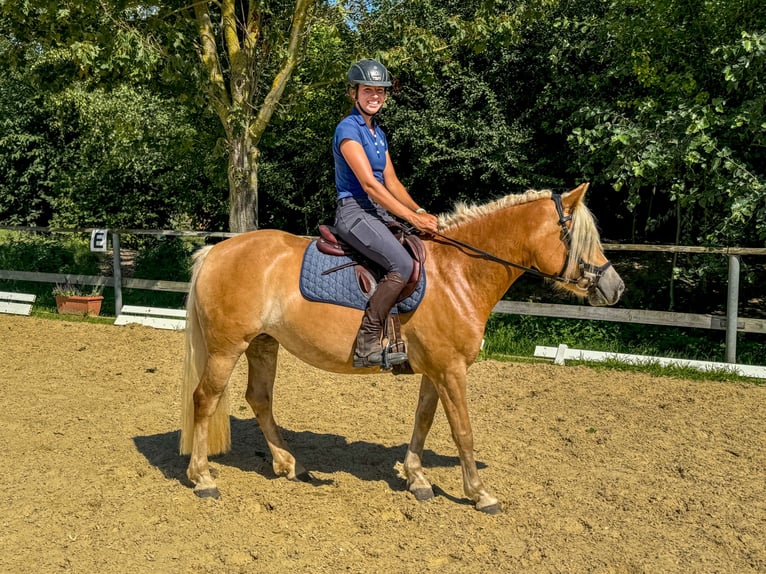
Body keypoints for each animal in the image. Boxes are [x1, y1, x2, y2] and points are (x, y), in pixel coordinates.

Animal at [183, 182, 628, 516]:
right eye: (578, 238)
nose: (616, 287)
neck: (456, 274)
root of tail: (216, 250)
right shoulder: (451, 369)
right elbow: (463, 431)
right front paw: (480, 493)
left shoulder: (436, 368)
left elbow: (424, 421)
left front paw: (417, 478)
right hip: (226, 348)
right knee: (205, 399)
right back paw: (203, 478)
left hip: (263, 344)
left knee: (259, 398)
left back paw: (289, 464)